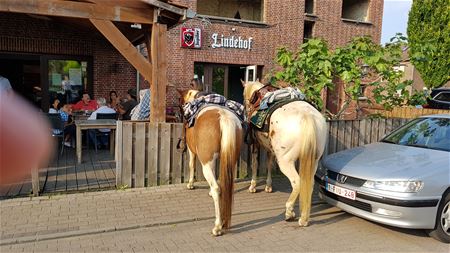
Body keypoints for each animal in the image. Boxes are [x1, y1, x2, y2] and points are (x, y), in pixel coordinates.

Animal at [178, 89, 243, 235]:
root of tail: (223, 117)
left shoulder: (192, 151)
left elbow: (191, 165)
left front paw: (190, 184)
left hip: (206, 164)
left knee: (216, 188)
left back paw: (218, 226)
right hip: (231, 160)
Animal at [243, 80, 326, 225]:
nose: (245, 106)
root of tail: (307, 117)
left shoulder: (255, 144)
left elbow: (255, 164)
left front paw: (253, 186)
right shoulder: (270, 149)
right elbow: (269, 164)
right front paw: (268, 186)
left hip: (285, 162)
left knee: (297, 182)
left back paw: (289, 212)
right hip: (314, 160)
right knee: (308, 184)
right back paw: (304, 217)